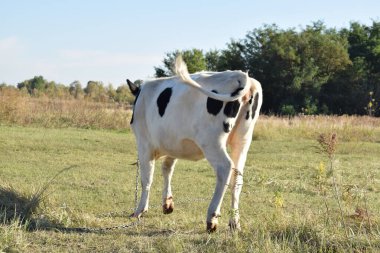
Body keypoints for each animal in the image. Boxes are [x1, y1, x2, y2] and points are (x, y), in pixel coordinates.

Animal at [127, 56, 262, 232]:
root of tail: (239, 75)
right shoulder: (173, 143)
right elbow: (167, 168)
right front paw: (167, 203)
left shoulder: (144, 144)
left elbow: (146, 178)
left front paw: (140, 210)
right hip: (242, 140)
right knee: (237, 177)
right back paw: (234, 222)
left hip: (211, 142)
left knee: (225, 168)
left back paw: (212, 218)